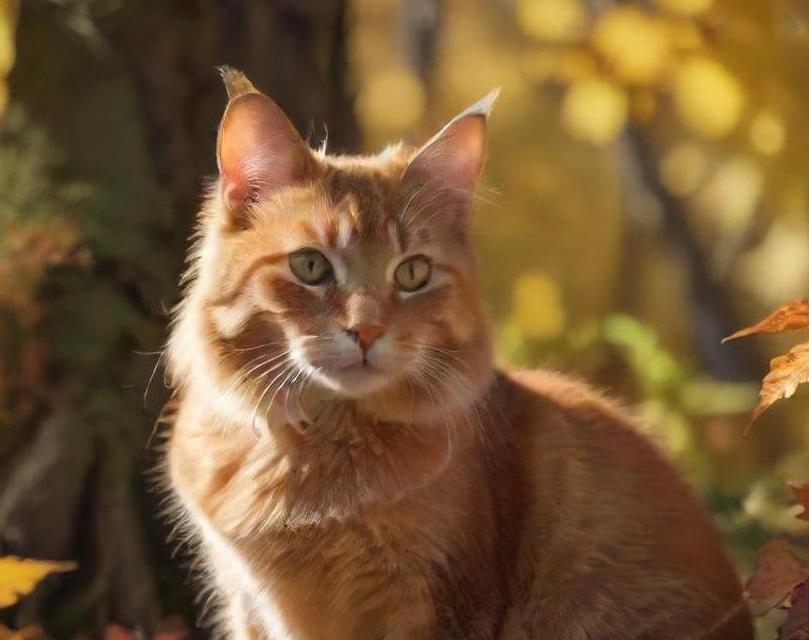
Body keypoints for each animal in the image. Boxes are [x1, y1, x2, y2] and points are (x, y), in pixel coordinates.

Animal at [164, 70, 752, 640]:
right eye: (311, 266)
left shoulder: (440, 601)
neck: (321, 453)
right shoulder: (247, 601)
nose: (367, 330)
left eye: (412, 273)